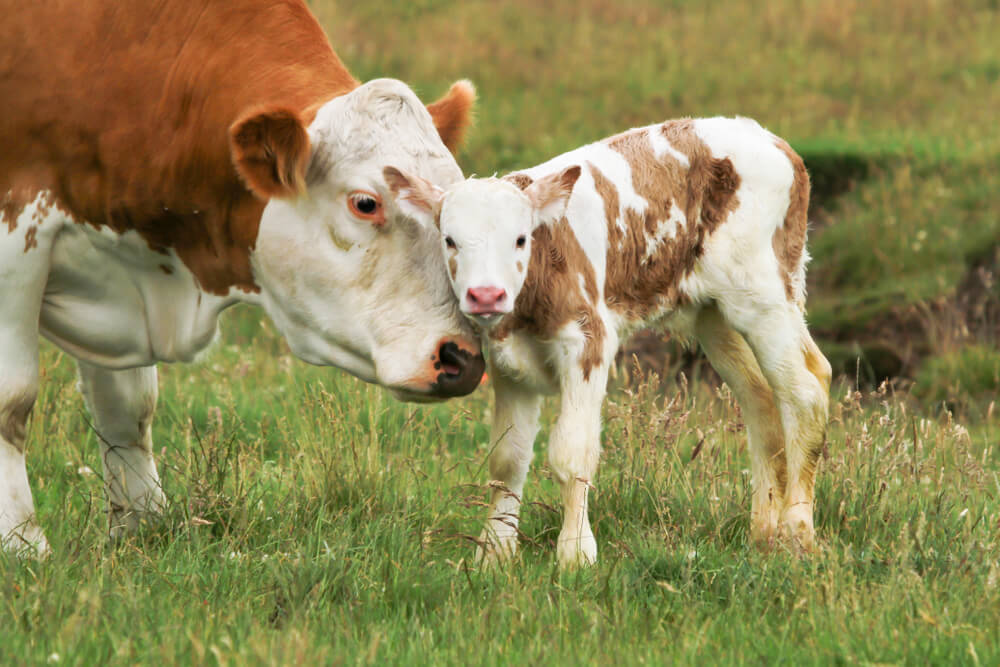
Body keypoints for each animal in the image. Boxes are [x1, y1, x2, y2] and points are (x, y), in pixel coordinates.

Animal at [0, 0, 484, 556]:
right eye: (365, 202)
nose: (463, 359)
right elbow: (12, 401)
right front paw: (20, 542)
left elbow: (127, 407)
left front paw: (143, 524)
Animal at [386, 117, 832, 572]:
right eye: (449, 240)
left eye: (521, 239)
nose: (486, 295)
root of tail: (768, 138)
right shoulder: (508, 362)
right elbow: (507, 459)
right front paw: (493, 552)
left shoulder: (588, 340)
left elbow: (572, 453)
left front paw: (576, 553)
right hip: (714, 313)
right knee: (759, 397)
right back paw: (763, 533)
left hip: (764, 291)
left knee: (806, 387)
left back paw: (797, 533)